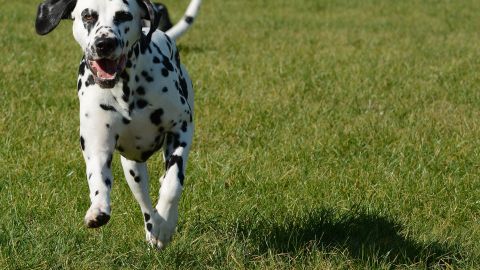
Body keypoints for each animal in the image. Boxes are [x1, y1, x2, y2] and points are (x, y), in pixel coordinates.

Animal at [34, 0, 201, 249]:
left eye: (123, 15)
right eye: (88, 16)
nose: (105, 43)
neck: (126, 88)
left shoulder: (180, 129)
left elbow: (172, 184)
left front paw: (166, 224)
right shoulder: (97, 145)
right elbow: (98, 178)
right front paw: (98, 208)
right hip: (133, 169)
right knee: (145, 203)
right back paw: (152, 227)